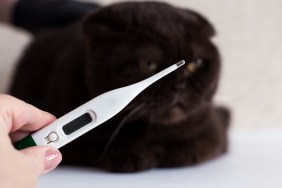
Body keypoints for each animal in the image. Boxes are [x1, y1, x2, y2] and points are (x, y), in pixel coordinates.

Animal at [9, 1, 230, 172]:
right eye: (149, 64)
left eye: (196, 64)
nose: (179, 85)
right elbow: (96, 147)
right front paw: (133, 156)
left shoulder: (213, 128)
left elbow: (198, 146)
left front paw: (165, 153)